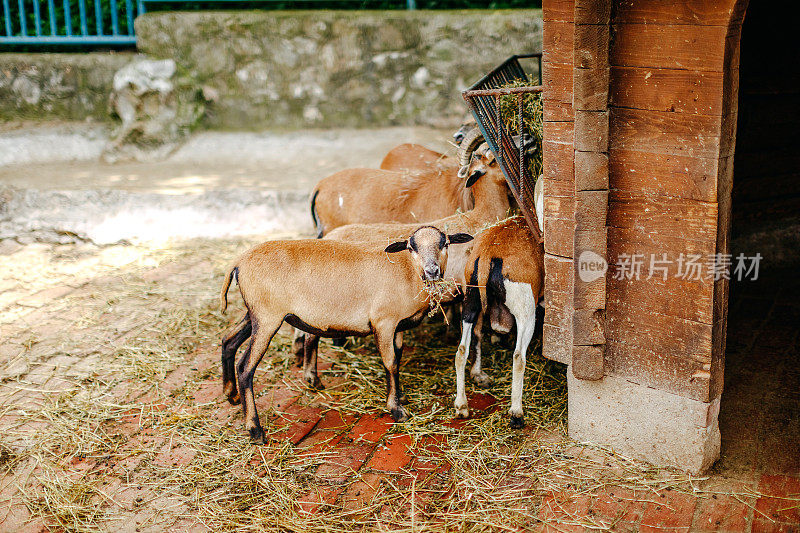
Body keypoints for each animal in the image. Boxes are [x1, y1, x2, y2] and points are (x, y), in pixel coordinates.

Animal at [216, 225, 472, 440]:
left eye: (445, 243)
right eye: (411, 247)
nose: (432, 271)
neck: (408, 271)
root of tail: (238, 261)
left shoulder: (398, 326)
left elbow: (397, 358)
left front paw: (399, 395)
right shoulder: (383, 322)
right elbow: (390, 363)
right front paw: (396, 409)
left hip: (255, 313)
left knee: (228, 340)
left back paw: (231, 394)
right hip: (267, 318)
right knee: (245, 368)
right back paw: (255, 429)